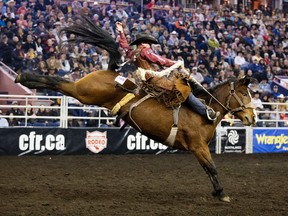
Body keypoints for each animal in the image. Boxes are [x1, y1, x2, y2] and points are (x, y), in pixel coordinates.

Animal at [14, 16, 256, 202]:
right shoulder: (198, 146)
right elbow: (212, 167)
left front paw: (217, 192)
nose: (252, 117)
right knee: (58, 81)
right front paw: (222, 194)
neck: (204, 112)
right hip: (84, 91)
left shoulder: (199, 148)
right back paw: (23, 76)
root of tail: (111, 71)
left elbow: (208, 169)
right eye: (244, 93)